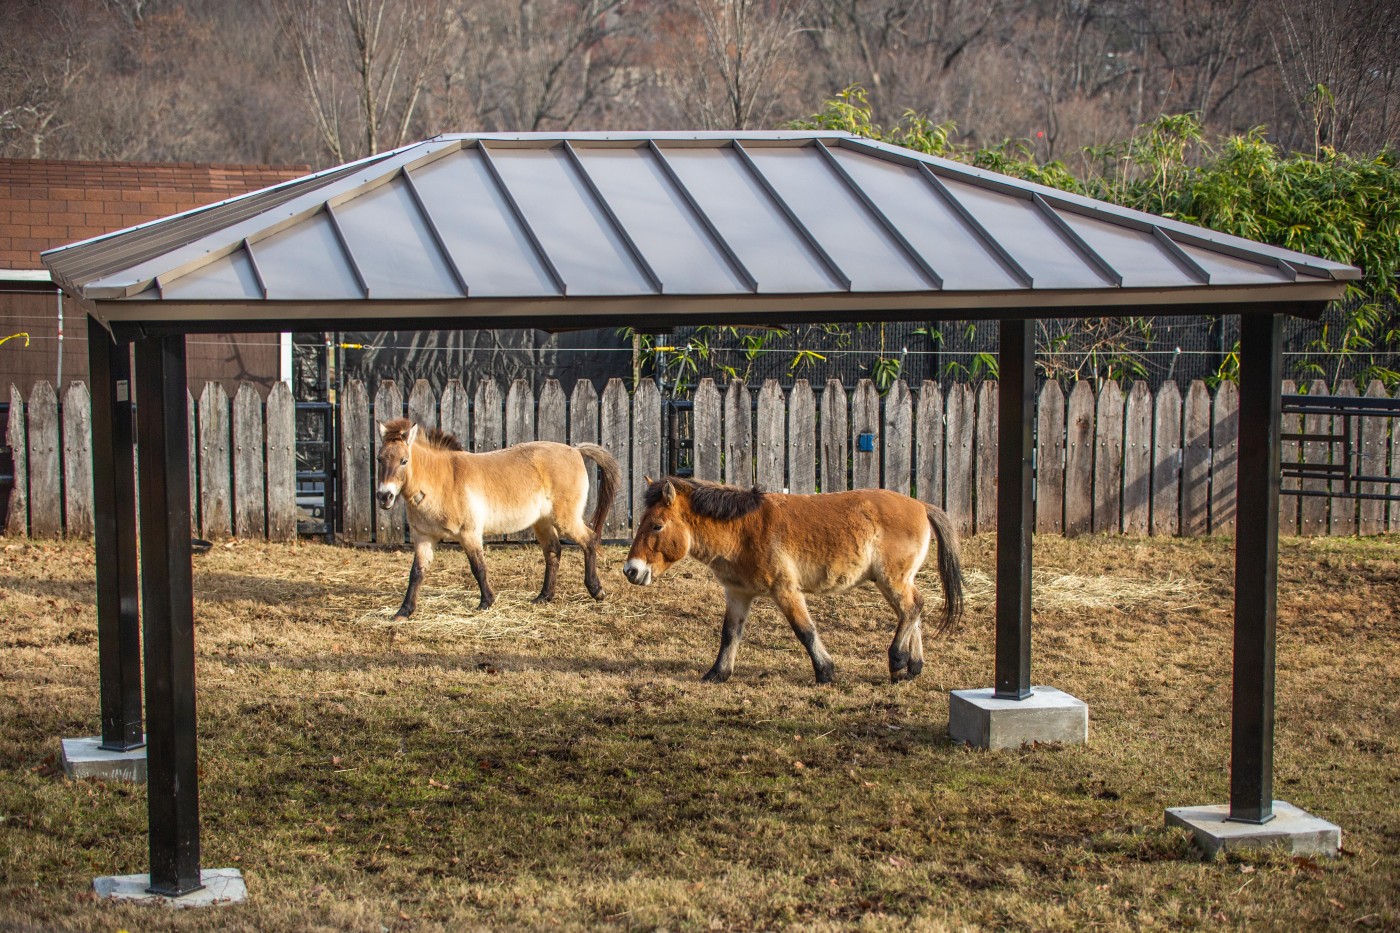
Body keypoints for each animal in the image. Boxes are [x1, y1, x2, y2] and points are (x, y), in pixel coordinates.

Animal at [375, 417, 621, 613]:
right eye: (379, 459)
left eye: (404, 460)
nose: (384, 496)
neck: (442, 480)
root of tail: (575, 450)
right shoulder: (424, 538)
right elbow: (416, 573)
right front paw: (404, 611)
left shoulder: (469, 534)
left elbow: (478, 567)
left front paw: (486, 602)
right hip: (542, 522)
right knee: (553, 551)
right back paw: (543, 597)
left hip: (566, 520)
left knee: (589, 540)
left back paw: (596, 590)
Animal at [624, 479, 963, 683]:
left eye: (656, 525)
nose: (631, 571)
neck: (742, 530)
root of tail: (921, 506)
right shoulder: (737, 594)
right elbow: (729, 634)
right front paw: (717, 673)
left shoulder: (785, 590)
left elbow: (805, 631)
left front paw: (825, 672)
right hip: (892, 581)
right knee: (912, 610)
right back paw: (912, 667)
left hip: (892, 579)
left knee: (911, 608)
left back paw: (897, 661)